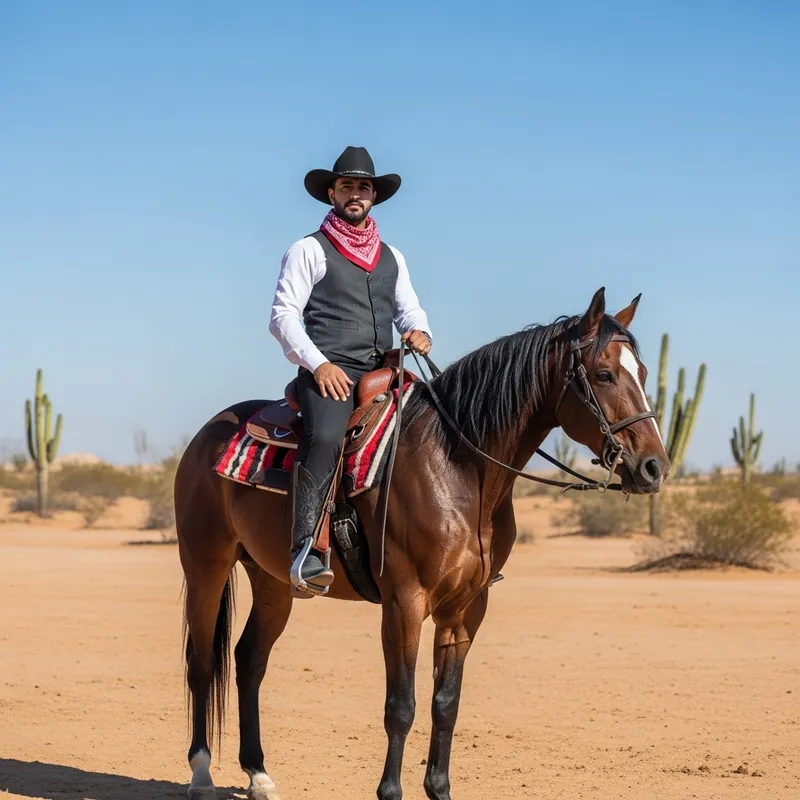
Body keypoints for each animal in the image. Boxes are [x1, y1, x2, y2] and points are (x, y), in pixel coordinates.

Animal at [174, 286, 669, 800]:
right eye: (604, 375)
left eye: (643, 373)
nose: (654, 467)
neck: (459, 467)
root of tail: (207, 435)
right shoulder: (404, 602)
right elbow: (402, 706)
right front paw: (390, 791)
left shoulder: (466, 608)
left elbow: (445, 703)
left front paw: (439, 788)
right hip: (206, 565)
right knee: (201, 662)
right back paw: (201, 773)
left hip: (272, 580)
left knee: (249, 660)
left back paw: (258, 774)